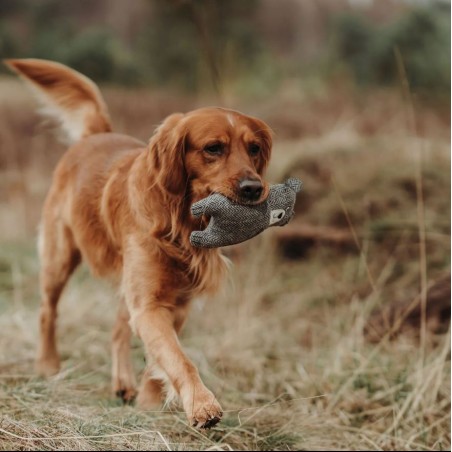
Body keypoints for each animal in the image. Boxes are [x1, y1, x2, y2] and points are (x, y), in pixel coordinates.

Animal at [6, 59, 272, 428]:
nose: (253, 188)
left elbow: (161, 358)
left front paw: (149, 402)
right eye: (213, 148)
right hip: (60, 257)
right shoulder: (149, 305)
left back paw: (123, 383)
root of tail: (96, 134)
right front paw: (202, 404)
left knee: (118, 331)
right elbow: (179, 357)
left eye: (254, 148)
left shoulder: (175, 303)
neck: (180, 222)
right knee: (48, 312)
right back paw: (47, 366)